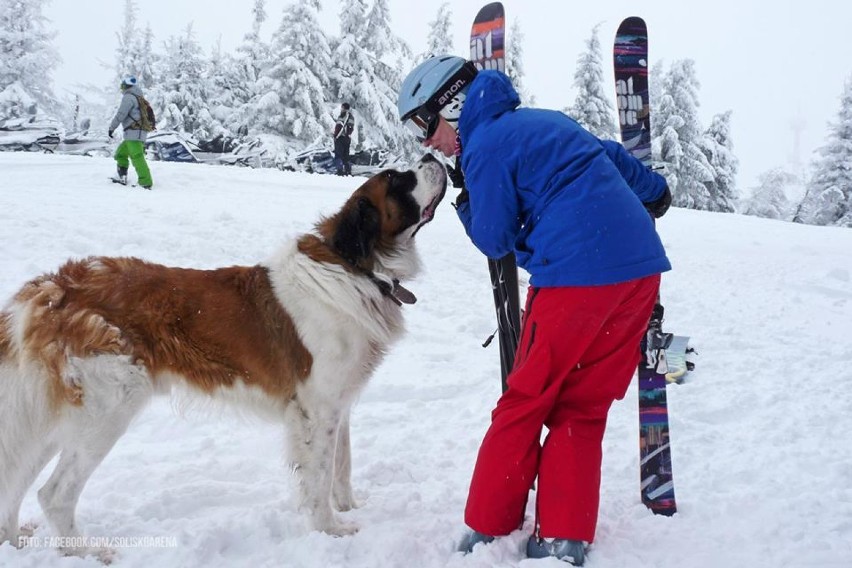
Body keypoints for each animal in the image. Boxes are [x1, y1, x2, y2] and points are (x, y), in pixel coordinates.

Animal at [0, 154, 450, 560]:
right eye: (397, 179)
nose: (433, 155)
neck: (357, 268)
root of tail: (53, 288)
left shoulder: (338, 404)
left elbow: (342, 464)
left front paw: (349, 507)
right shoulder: (317, 409)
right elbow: (320, 474)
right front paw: (330, 530)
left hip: (53, 418)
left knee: (15, 478)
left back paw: (16, 542)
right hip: (108, 408)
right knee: (54, 493)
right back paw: (86, 551)